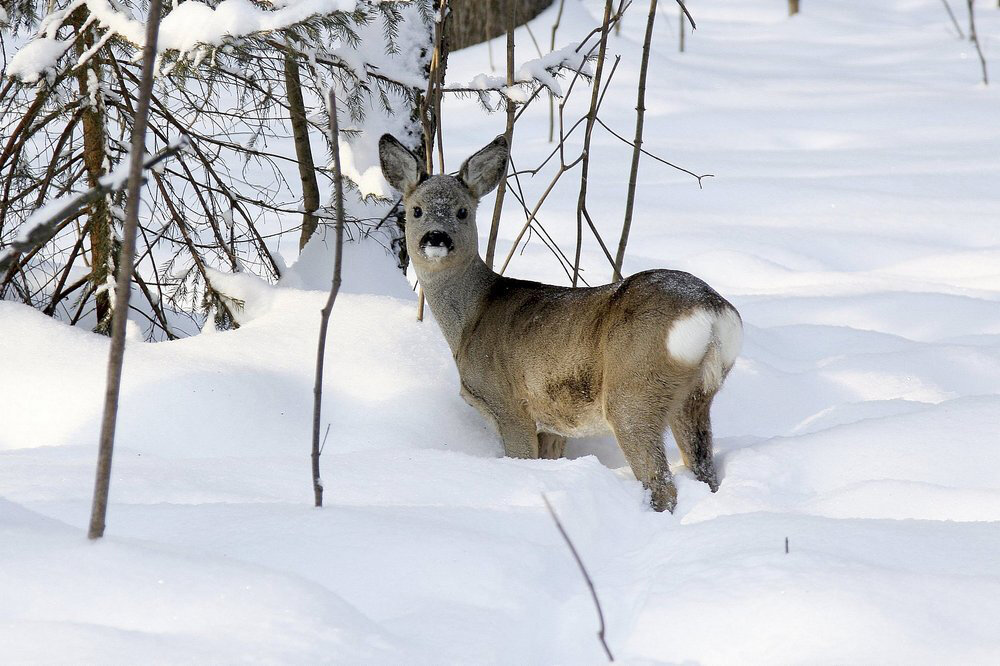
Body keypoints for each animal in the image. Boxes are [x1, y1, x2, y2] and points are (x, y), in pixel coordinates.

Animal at [382, 134, 744, 508]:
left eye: (462, 211)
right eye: (416, 210)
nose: (436, 238)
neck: (472, 318)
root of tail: (712, 311)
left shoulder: (509, 405)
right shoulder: (554, 423)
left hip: (634, 389)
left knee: (661, 482)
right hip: (697, 394)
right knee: (704, 470)